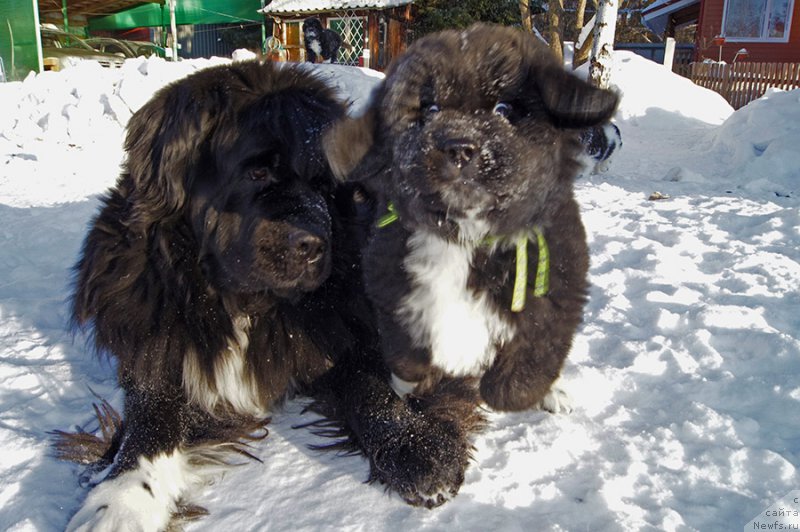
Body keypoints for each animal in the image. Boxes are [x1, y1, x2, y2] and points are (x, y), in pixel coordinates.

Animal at [61, 60, 476, 528]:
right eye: (257, 173)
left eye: (323, 184)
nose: (314, 245)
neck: (241, 303)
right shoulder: (154, 345)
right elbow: (149, 421)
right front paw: (119, 502)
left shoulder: (344, 325)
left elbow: (370, 384)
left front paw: (416, 447)